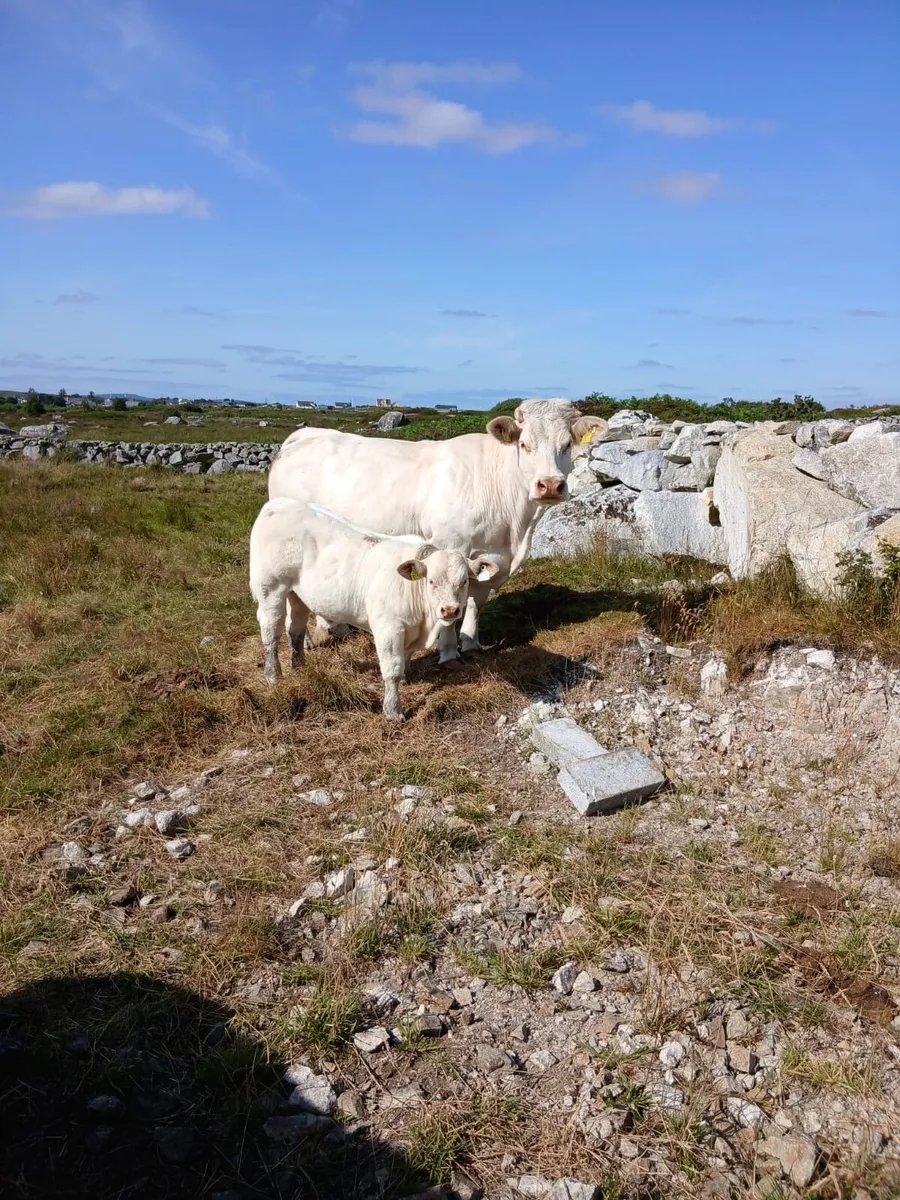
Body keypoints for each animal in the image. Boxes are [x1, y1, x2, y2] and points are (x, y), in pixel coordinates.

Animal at [248, 497, 503, 720]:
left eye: (464, 581)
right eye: (431, 581)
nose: (450, 611)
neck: (423, 622)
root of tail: (278, 503)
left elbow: (405, 658)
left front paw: (405, 680)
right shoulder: (388, 628)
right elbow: (392, 667)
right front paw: (393, 710)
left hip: (297, 594)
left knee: (296, 629)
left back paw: (299, 666)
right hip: (270, 589)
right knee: (271, 632)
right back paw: (273, 676)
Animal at [267, 399, 607, 663]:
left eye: (567, 445)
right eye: (525, 445)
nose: (550, 485)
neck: (514, 529)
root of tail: (305, 435)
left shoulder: (492, 556)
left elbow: (474, 599)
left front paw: (470, 641)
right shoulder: (449, 544)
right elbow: (447, 597)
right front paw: (447, 651)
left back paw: (333, 627)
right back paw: (309, 640)